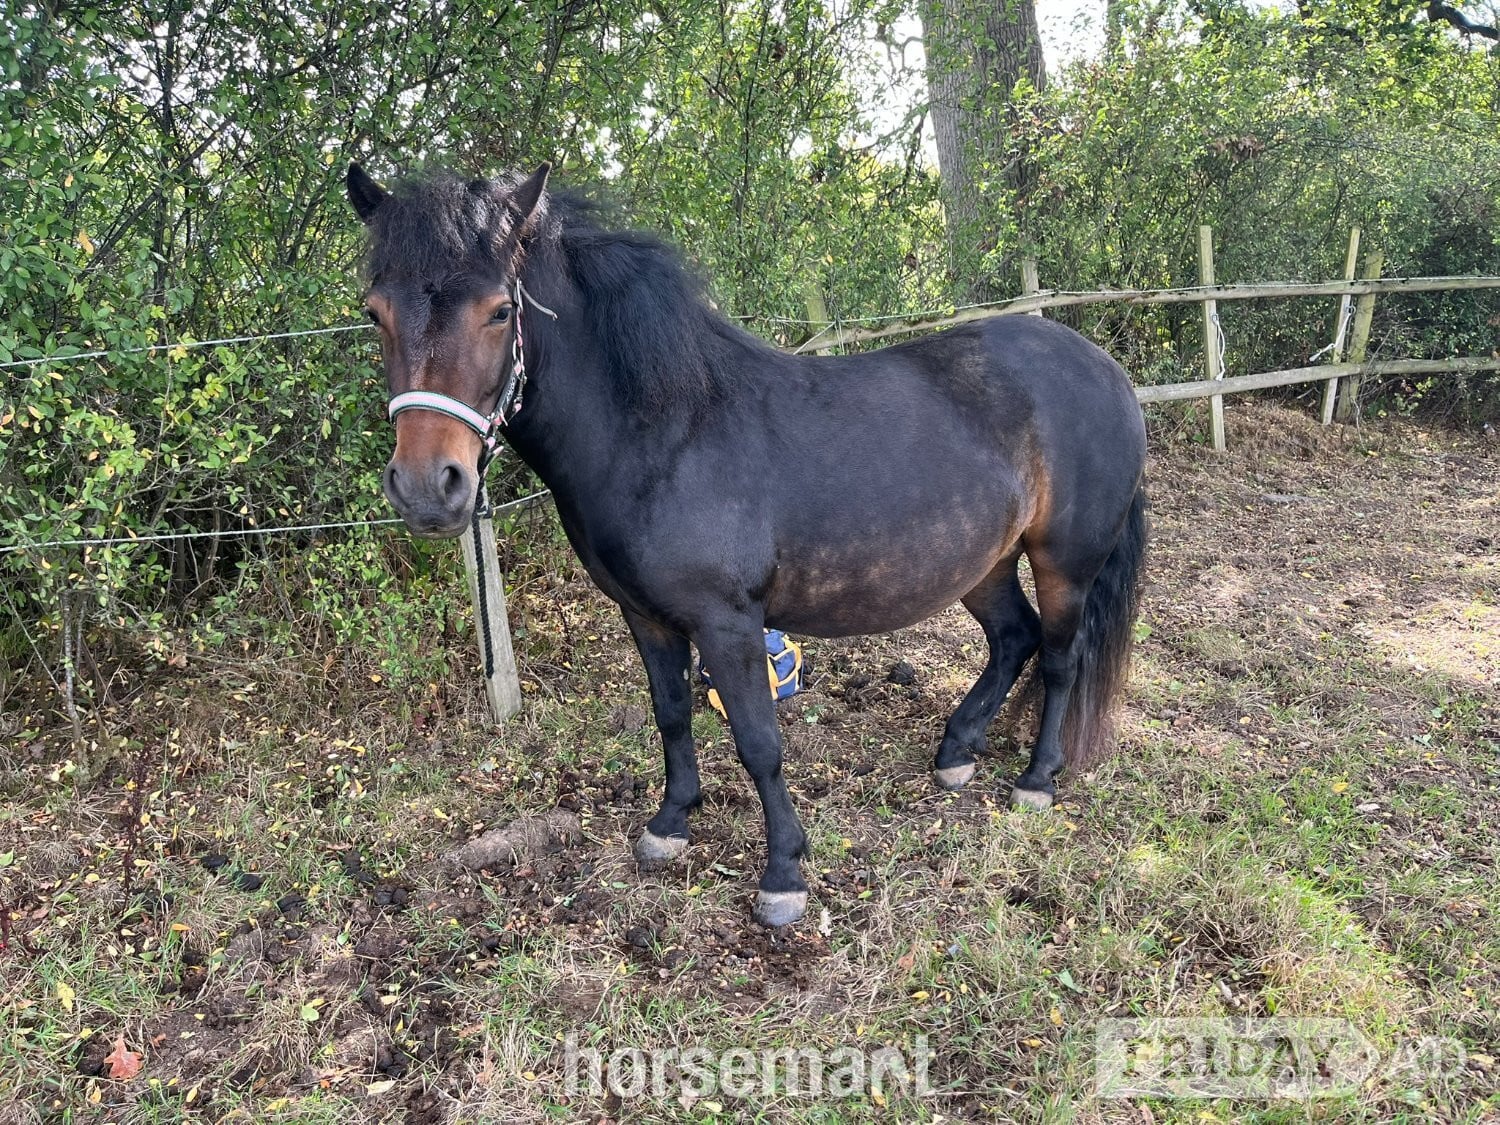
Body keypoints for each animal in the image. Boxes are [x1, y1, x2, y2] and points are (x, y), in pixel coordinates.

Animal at [345, 162, 1148, 928]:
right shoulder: (647, 617)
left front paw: (784, 874)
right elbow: (671, 714)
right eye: (375, 313)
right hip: (981, 562)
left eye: (500, 311)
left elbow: (760, 742)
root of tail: (1104, 369)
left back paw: (1036, 780)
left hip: (1064, 561)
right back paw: (955, 753)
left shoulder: (729, 623)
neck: (665, 433)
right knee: (1013, 637)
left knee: (1060, 655)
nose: (428, 488)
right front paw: (670, 824)